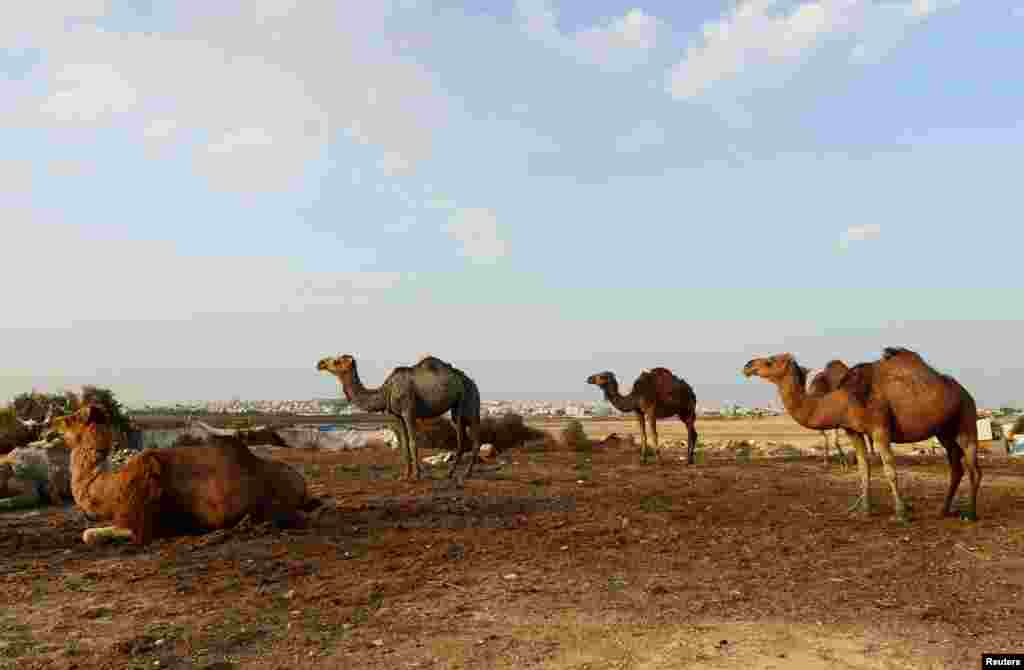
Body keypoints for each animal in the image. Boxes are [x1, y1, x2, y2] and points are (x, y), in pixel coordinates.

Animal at [48, 403, 317, 545]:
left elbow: (90, 534)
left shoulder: (142, 522)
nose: (50, 422)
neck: (112, 486)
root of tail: (302, 483)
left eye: (71, 419)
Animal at [317, 356, 481, 483]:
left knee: (472, 437)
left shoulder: (408, 411)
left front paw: (416, 476)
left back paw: (465, 474)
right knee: (463, 438)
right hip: (457, 408)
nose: (320, 363)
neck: (386, 390)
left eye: (337, 361)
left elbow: (413, 442)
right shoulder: (397, 416)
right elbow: (404, 445)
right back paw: (450, 473)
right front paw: (405, 475)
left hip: (468, 400)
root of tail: (472, 381)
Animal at [745, 348, 983, 528]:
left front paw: (900, 514)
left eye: (770, 361)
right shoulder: (854, 431)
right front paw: (863, 510)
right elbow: (863, 469)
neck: (843, 400)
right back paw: (943, 510)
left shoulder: (879, 429)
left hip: (966, 419)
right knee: (956, 466)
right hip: (943, 431)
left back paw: (970, 514)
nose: (748, 365)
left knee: (973, 467)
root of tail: (965, 392)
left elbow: (890, 470)